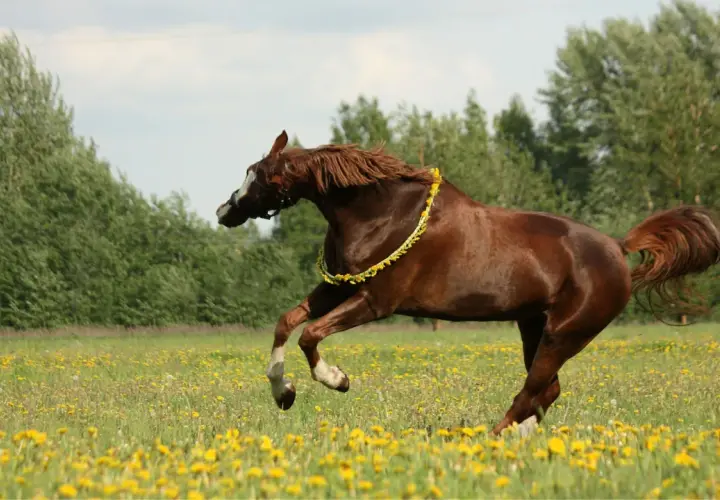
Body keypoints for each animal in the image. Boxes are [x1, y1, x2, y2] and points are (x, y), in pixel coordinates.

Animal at [216, 130, 720, 436]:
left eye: (259, 177)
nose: (224, 211)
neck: (382, 213)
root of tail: (618, 247)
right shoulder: (338, 288)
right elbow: (287, 323)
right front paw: (283, 393)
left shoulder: (375, 300)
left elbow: (311, 335)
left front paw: (336, 380)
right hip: (534, 326)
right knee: (545, 392)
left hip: (566, 332)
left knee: (533, 390)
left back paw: (491, 440)